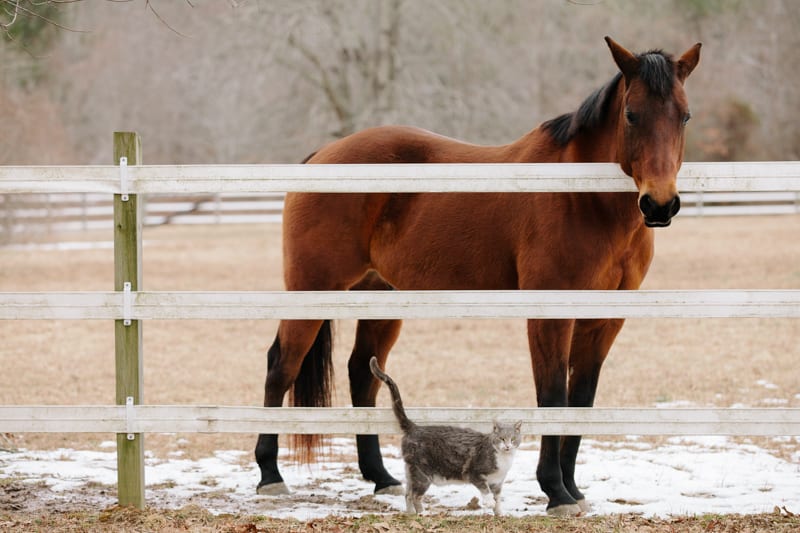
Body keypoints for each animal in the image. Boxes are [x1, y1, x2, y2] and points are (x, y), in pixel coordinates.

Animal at [370, 356, 524, 512]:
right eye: (501, 439)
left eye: (513, 439)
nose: (507, 446)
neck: (504, 459)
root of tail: (414, 427)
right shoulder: (474, 473)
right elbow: (485, 489)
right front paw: (488, 502)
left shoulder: (497, 483)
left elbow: (498, 500)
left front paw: (499, 513)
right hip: (422, 474)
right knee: (415, 496)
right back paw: (422, 514)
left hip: (411, 472)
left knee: (407, 495)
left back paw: (410, 514)